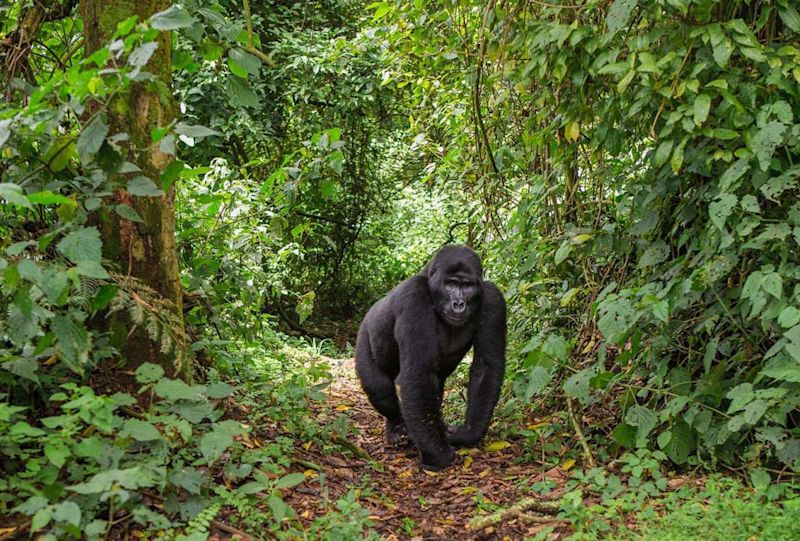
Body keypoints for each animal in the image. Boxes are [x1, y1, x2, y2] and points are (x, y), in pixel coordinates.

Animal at [356, 245, 506, 468]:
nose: (459, 303)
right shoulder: (413, 297)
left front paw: (467, 433)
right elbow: (418, 373)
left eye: (467, 286)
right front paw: (438, 454)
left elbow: (486, 367)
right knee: (379, 388)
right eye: (450, 284)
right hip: (364, 333)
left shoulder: (493, 299)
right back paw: (396, 425)